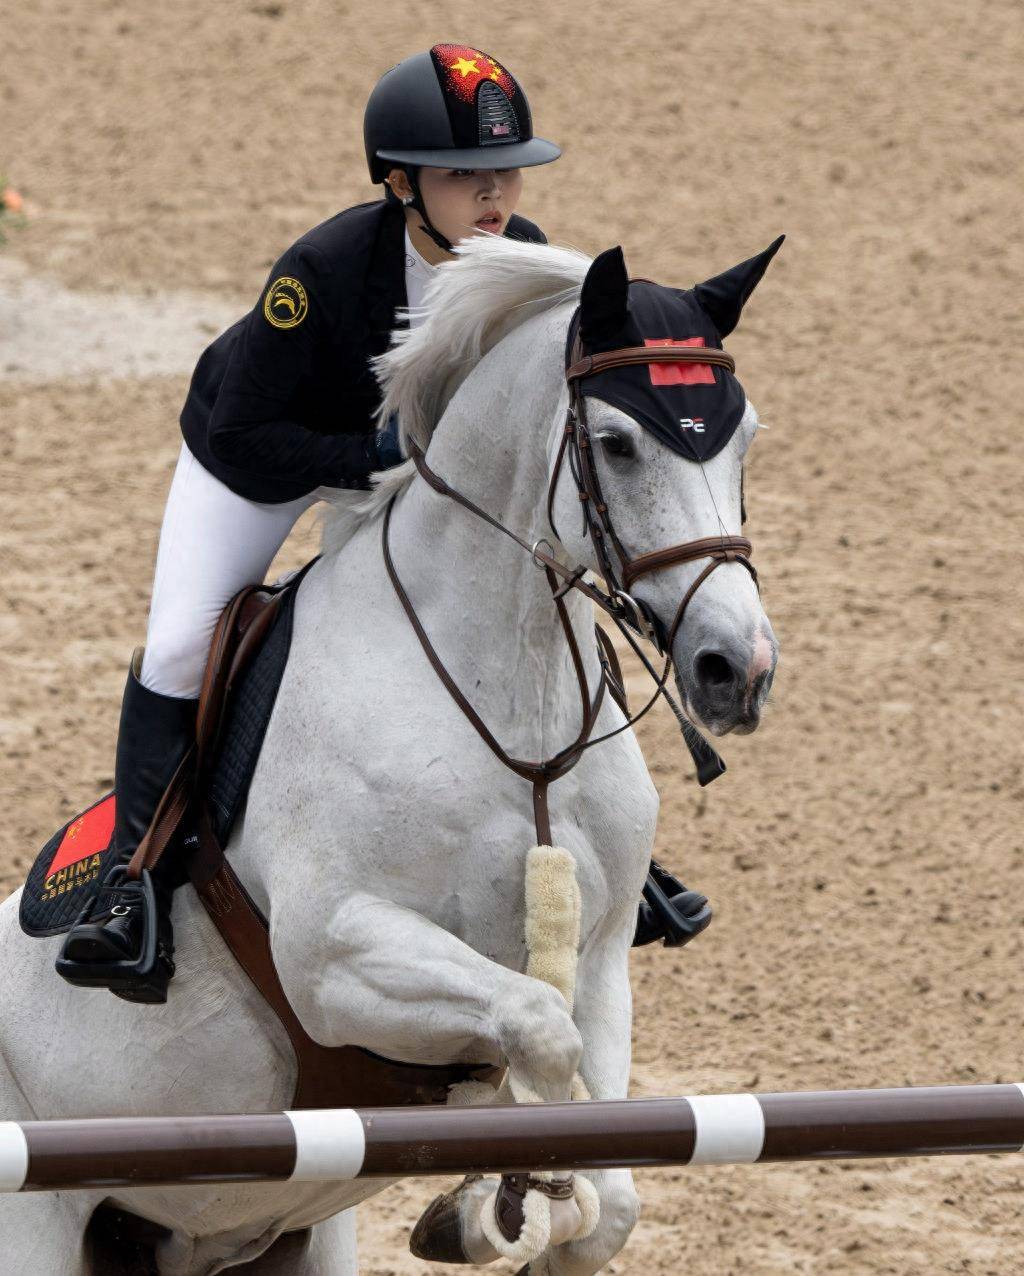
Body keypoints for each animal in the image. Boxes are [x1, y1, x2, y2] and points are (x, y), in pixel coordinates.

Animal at [0, 234, 775, 1270]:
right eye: (618, 443)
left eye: (744, 438)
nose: (737, 670)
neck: (506, 698)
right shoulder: (335, 955)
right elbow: (539, 1029)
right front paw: (499, 1202)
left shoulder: (606, 954)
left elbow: (609, 1191)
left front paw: (509, 1204)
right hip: (37, 1219)